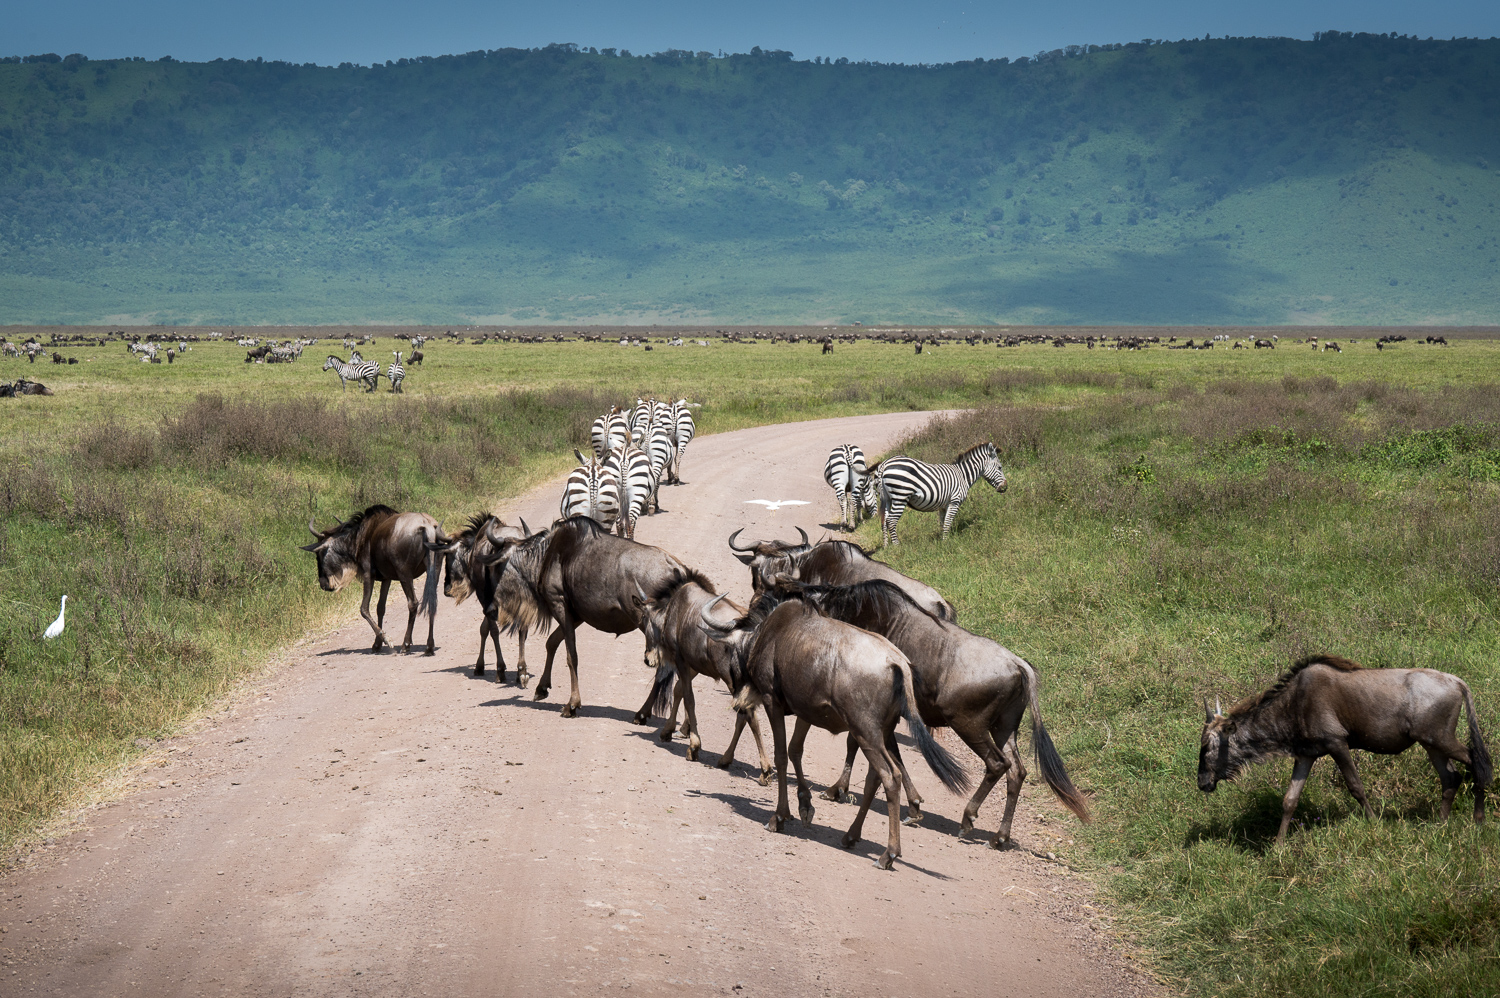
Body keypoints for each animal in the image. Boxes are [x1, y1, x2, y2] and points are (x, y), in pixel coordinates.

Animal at [870, 441, 1008, 546]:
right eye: (1000, 467)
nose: (1005, 487)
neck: (963, 475)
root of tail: (884, 465)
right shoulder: (954, 501)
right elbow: (947, 523)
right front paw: (946, 543)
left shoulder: (943, 505)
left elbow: (942, 523)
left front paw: (942, 541)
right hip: (900, 497)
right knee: (891, 521)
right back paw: (897, 546)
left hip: (887, 499)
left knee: (884, 520)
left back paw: (887, 547)